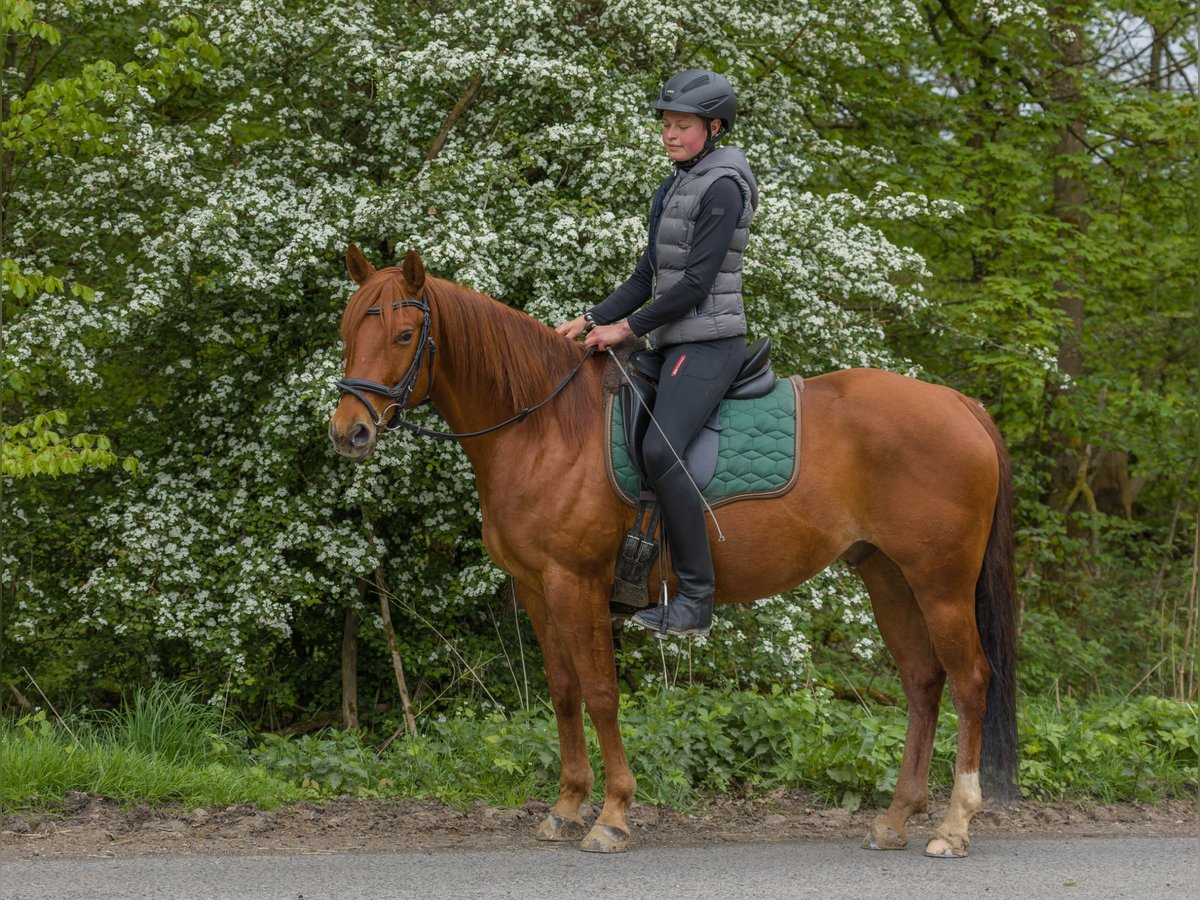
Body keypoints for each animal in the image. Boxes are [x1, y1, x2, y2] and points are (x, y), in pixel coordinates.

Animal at [331, 247, 1022, 859]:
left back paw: (954, 825)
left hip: (940, 583)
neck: (546, 426)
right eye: (346, 331)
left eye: (403, 335)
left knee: (970, 680)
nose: (348, 433)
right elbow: (563, 692)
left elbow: (600, 693)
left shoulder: (576, 583)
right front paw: (566, 806)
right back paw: (895, 818)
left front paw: (611, 815)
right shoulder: (536, 587)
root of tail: (959, 403)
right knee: (923, 682)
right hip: (888, 576)